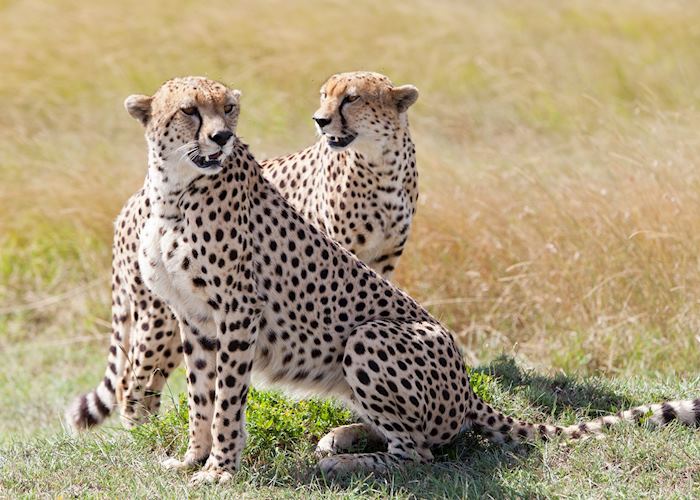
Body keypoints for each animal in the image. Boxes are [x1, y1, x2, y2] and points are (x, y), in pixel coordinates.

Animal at [66, 71, 419, 430]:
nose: (321, 120)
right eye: (324, 96)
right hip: (160, 315)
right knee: (132, 383)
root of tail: (130, 203)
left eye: (352, 98)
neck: (379, 166)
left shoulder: (381, 262)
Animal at [110, 76, 699, 485]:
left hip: (368, 338)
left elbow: (228, 399)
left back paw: (345, 464)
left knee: (420, 451)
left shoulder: (237, 313)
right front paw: (193, 459)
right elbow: (201, 396)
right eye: (190, 110)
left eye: (228, 108)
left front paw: (220, 470)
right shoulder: (194, 318)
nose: (222, 136)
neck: (176, 188)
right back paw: (342, 437)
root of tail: (468, 386)